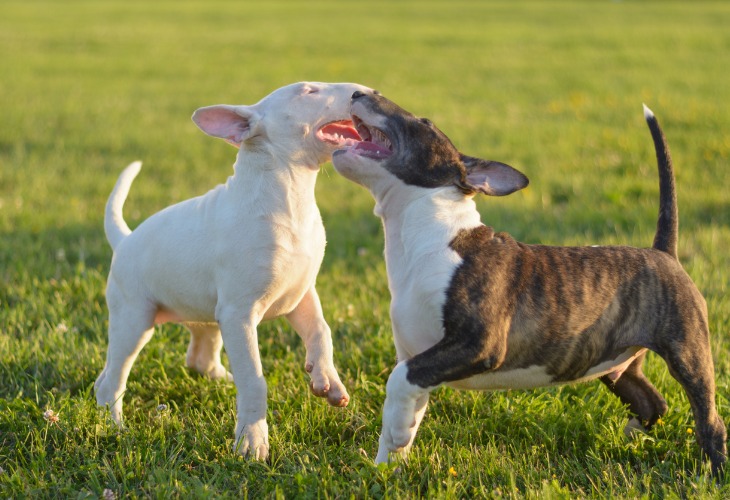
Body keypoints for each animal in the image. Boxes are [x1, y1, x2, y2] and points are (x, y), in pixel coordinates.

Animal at [95, 80, 370, 458]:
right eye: (308, 90)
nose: (366, 92)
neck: (289, 196)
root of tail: (124, 240)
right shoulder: (239, 314)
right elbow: (254, 379)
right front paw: (252, 442)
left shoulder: (301, 294)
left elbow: (321, 331)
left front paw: (327, 381)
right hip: (134, 318)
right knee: (115, 374)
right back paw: (113, 424)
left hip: (205, 315)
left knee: (196, 357)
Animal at [332, 91, 724, 476]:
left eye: (424, 122)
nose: (358, 91)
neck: (431, 237)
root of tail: (662, 253)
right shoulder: (419, 354)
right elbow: (409, 403)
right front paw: (388, 464)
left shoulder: (479, 344)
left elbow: (399, 379)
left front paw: (394, 442)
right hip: (616, 360)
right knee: (652, 402)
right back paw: (632, 437)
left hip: (687, 349)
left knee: (709, 419)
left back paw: (713, 473)